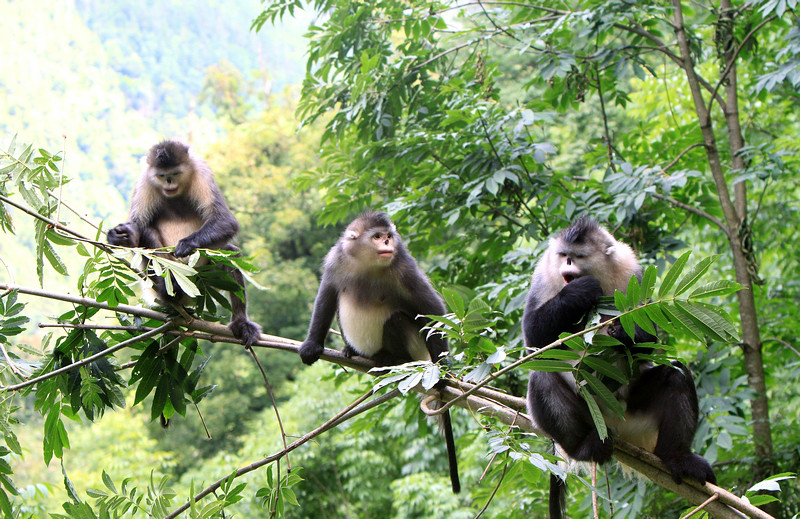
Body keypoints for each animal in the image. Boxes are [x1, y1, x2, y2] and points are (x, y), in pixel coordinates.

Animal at [106, 140, 260, 348]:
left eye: (175, 173)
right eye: (162, 176)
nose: (169, 182)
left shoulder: (201, 173)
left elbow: (226, 222)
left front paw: (186, 244)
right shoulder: (145, 181)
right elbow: (139, 226)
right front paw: (123, 237)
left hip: (205, 282)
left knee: (230, 255)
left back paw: (241, 323)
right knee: (148, 234)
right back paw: (169, 289)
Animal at [300, 212, 462, 496]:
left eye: (388, 237)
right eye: (377, 236)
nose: (387, 243)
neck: (368, 265)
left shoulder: (405, 267)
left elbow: (432, 310)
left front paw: (443, 373)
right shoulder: (335, 261)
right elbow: (327, 296)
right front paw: (312, 344)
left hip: (416, 347)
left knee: (397, 320)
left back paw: (391, 359)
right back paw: (351, 349)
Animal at [520, 217, 716, 519]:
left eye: (578, 257)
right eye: (564, 255)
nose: (567, 265)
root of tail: (613, 424)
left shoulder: (631, 269)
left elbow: (648, 339)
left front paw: (623, 334)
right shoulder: (544, 274)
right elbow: (533, 339)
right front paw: (578, 294)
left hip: (633, 417)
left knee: (676, 375)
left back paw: (677, 458)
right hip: (590, 416)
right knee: (543, 375)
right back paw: (583, 447)